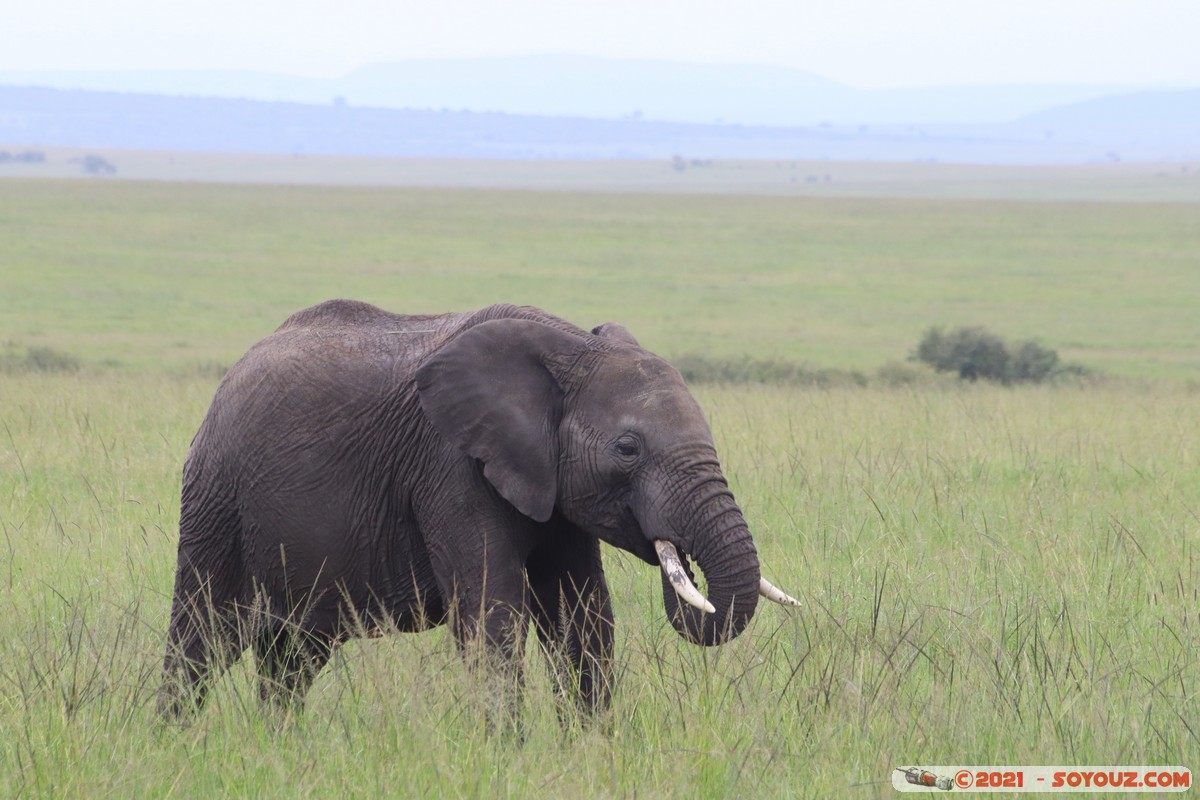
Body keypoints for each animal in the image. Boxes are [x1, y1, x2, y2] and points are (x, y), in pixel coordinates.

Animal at [159, 298, 796, 719]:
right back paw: (178, 745)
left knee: (292, 659)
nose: (683, 563)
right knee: (199, 640)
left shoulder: (551, 483)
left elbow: (582, 616)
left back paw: (276, 744)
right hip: (215, 501)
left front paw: (591, 751)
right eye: (628, 449)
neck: (569, 346)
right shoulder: (451, 465)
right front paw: (507, 759)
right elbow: (492, 616)